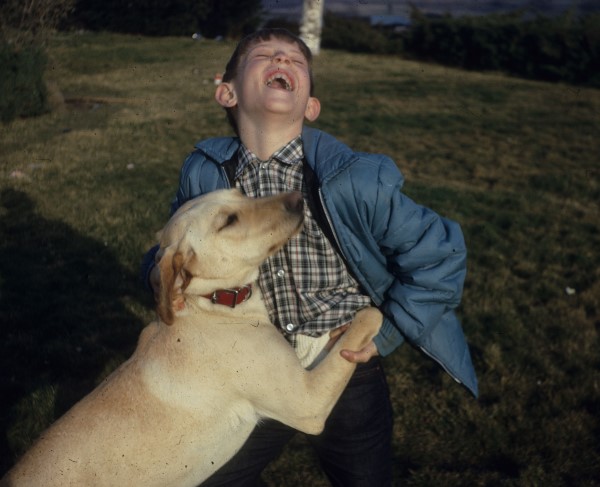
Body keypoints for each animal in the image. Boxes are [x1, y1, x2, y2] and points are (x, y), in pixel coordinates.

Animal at [2, 190, 382, 487]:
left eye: (242, 193)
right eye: (229, 220)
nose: (298, 198)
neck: (210, 304)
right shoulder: (307, 403)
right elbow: (369, 316)